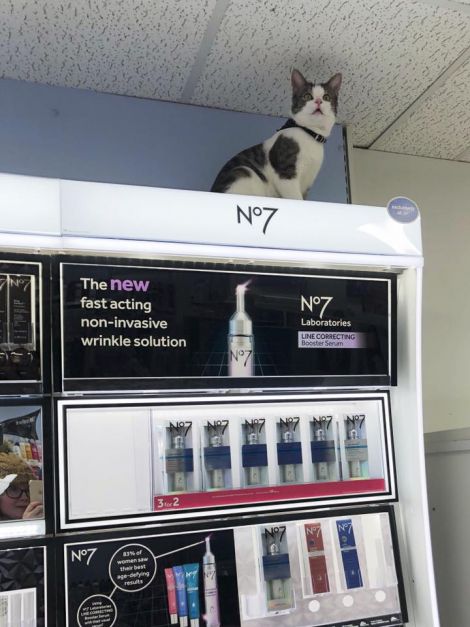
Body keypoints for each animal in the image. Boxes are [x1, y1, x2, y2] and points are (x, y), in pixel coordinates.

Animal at [212, 68, 342, 199]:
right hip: (243, 171)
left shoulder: (307, 182)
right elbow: (296, 197)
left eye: (326, 97)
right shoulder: (285, 174)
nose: (319, 101)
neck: (309, 134)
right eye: (307, 96)